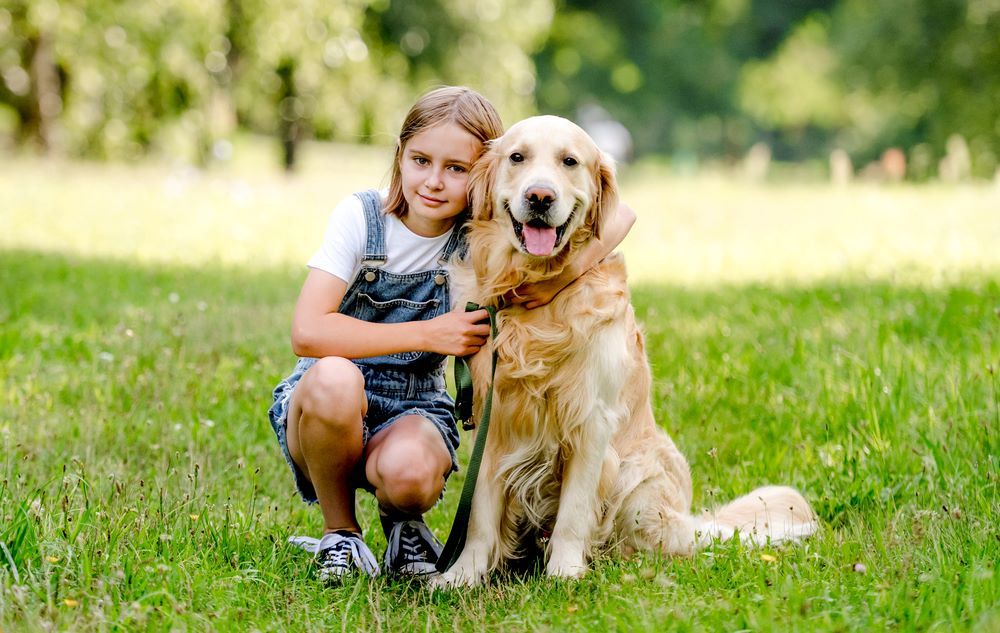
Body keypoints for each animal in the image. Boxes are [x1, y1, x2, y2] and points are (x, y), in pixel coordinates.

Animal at [434, 116, 816, 584]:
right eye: (517, 157)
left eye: (570, 161)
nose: (540, 197)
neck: (536, 295)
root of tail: (687, 523)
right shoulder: (495, 415)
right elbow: (480, 513)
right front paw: (462, 575)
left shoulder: (592, 418)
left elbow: (575, 511)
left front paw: (564, 573)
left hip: (639, 474)